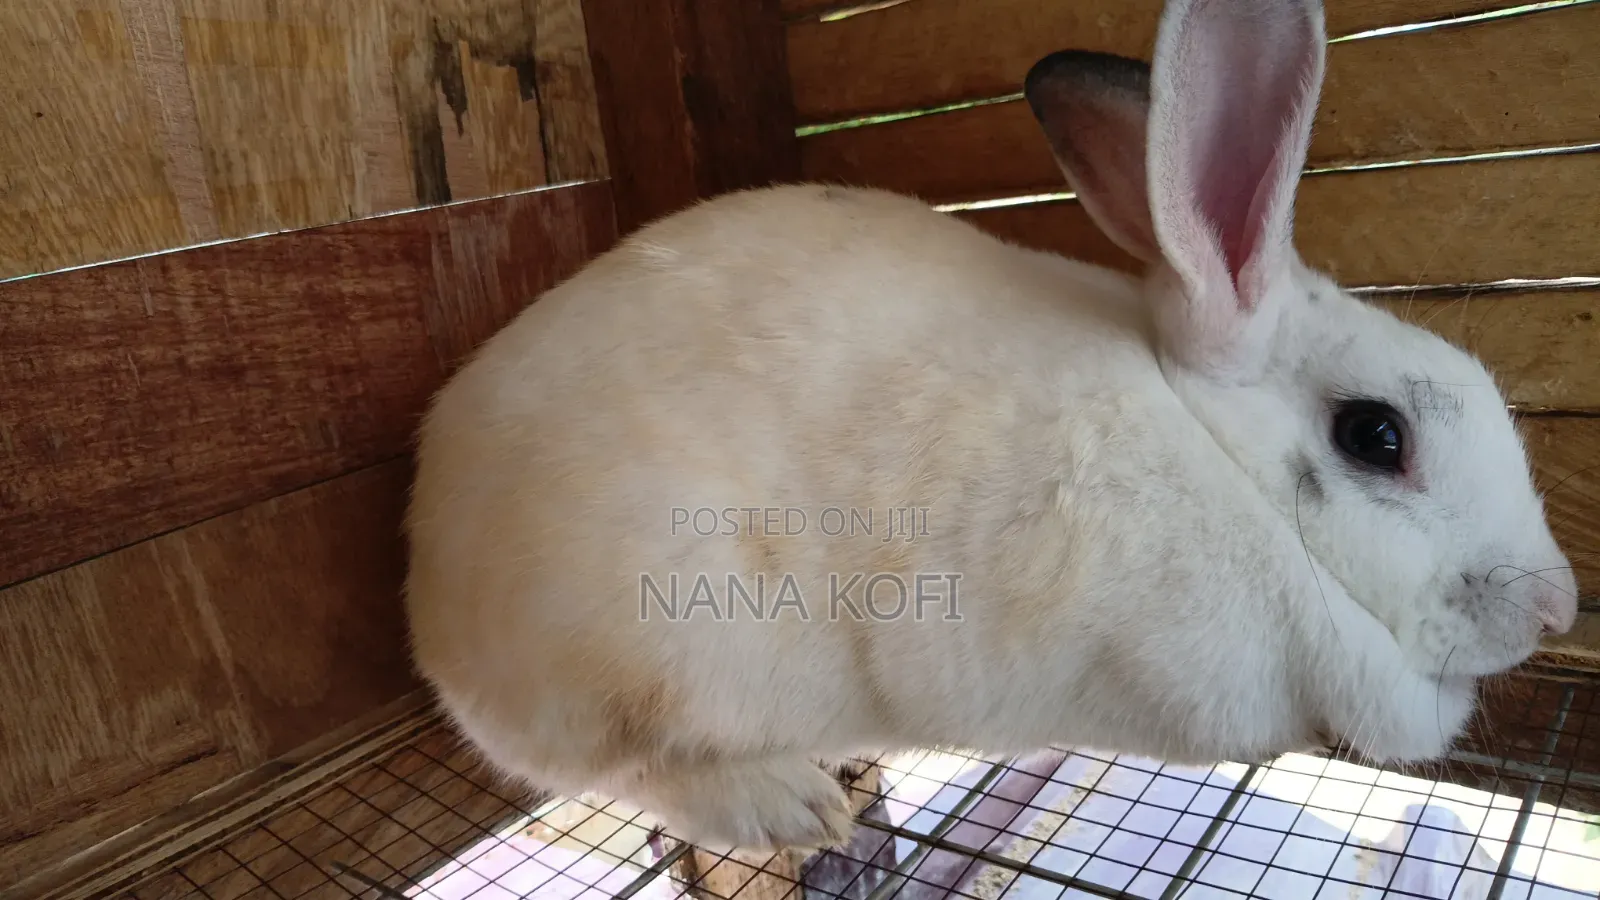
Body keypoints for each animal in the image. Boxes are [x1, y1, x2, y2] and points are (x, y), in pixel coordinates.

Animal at [402, 0, 1578, 855]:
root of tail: (426, 593)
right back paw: (791, 806)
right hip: (654, 646)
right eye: (1376, 437)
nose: (1559, 606)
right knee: (622, 769)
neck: (1213, 457)